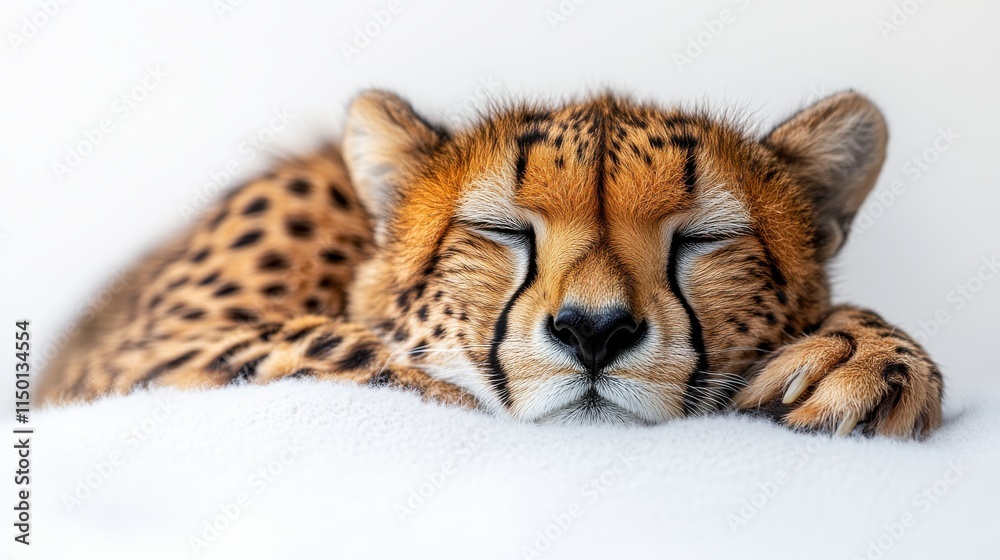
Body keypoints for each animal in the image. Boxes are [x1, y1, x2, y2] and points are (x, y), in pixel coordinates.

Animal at [37, 89, 944, 438]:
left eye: (700, 239)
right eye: (501, 231)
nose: (593, 332)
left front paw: (868, 360)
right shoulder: (140, 360)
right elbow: (367, 354)